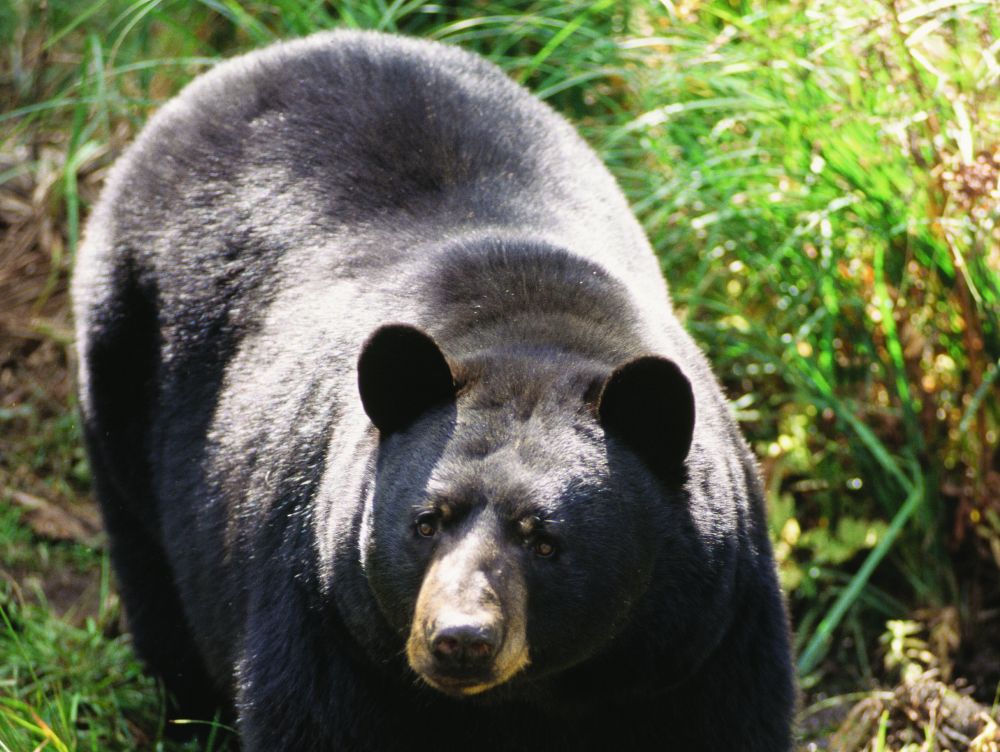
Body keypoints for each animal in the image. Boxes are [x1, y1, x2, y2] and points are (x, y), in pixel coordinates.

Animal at [74, 30, 796, 752]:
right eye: (425, 523)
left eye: (546, 540)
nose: (460, 640)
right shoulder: (327, 612)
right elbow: (315, 719)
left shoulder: (703, 635)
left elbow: (728, 719)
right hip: (124, 356)